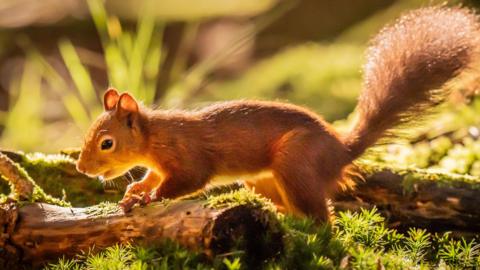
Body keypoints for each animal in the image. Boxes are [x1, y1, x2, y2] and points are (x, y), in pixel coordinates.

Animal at [76, 6, 480, 221]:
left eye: (107, 143)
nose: (81, 168)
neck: (156, 136)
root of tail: (341, 151)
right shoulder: (160, 164)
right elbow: (150, 178)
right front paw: (134, 190)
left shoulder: (187, 157)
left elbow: (187, 181)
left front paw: (149, 197)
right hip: (262, 179)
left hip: (295, 160)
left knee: (323, 219)